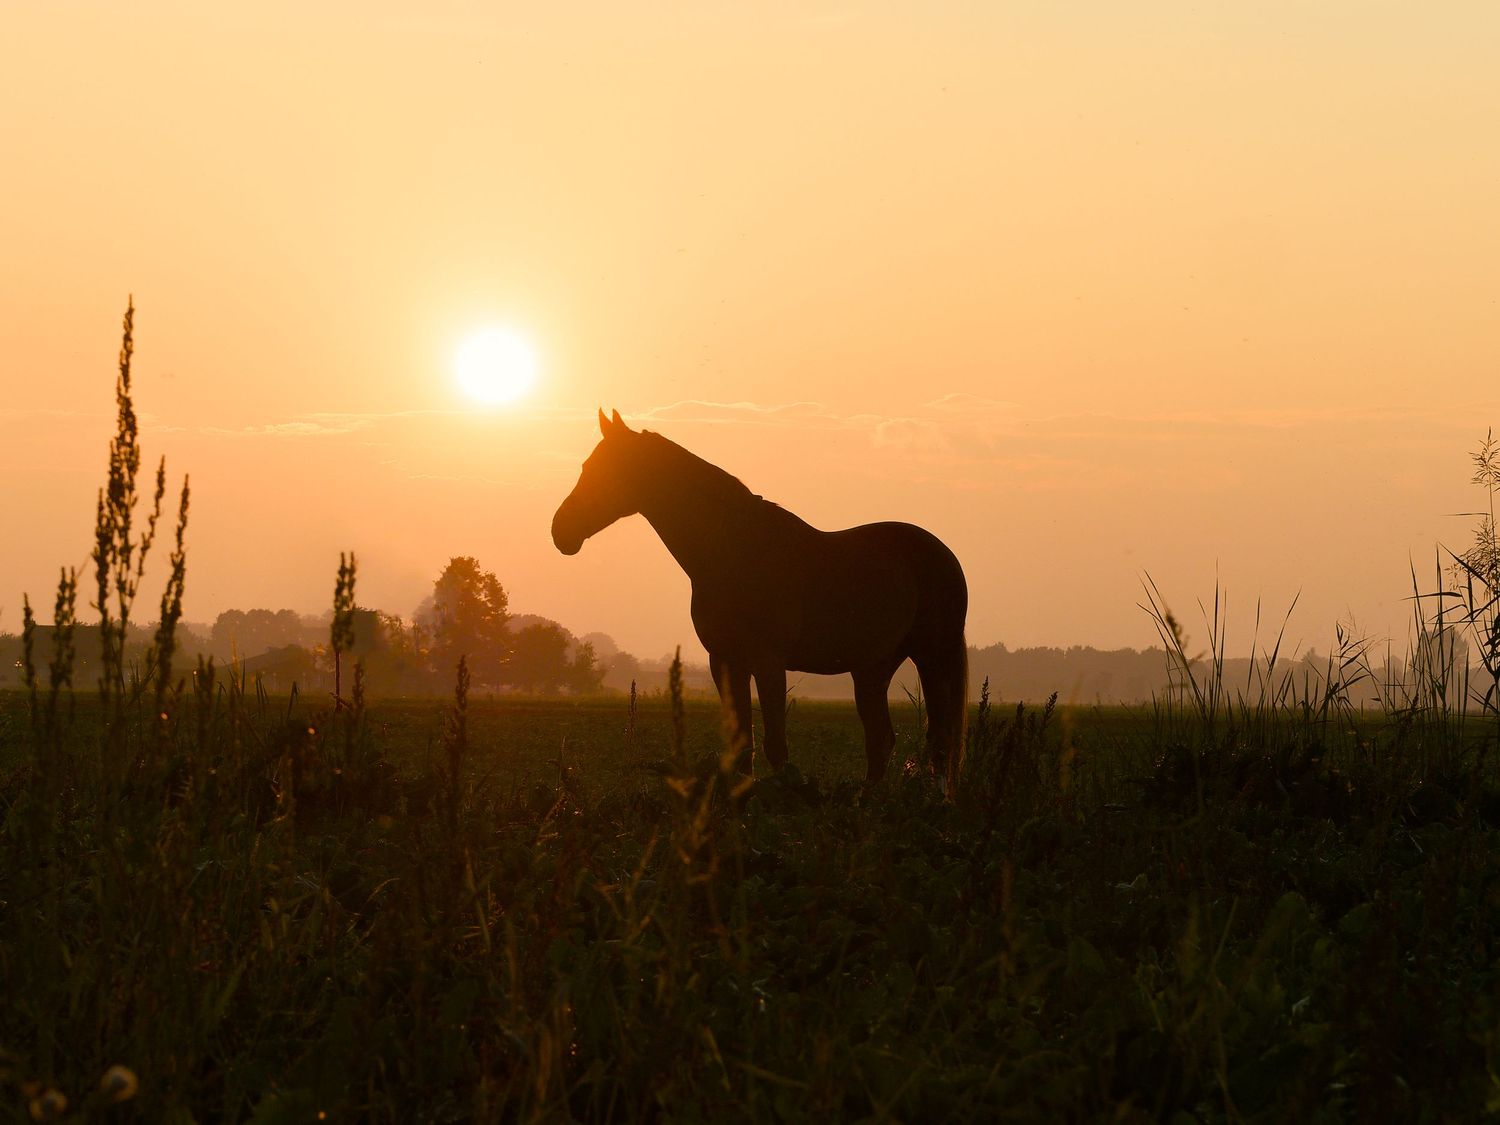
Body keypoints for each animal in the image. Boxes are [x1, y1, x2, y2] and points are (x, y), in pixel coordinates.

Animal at [552, 409, 969, 791]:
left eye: (607, 468)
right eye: (587, 465)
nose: (560, 531)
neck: (737, 552)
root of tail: (944, 553)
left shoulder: (768, 662)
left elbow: (775, 745)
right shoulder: (725, 660)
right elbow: (741, 745)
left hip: (931, 657)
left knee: (939, 738)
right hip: (873, 667)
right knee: (881, 739)